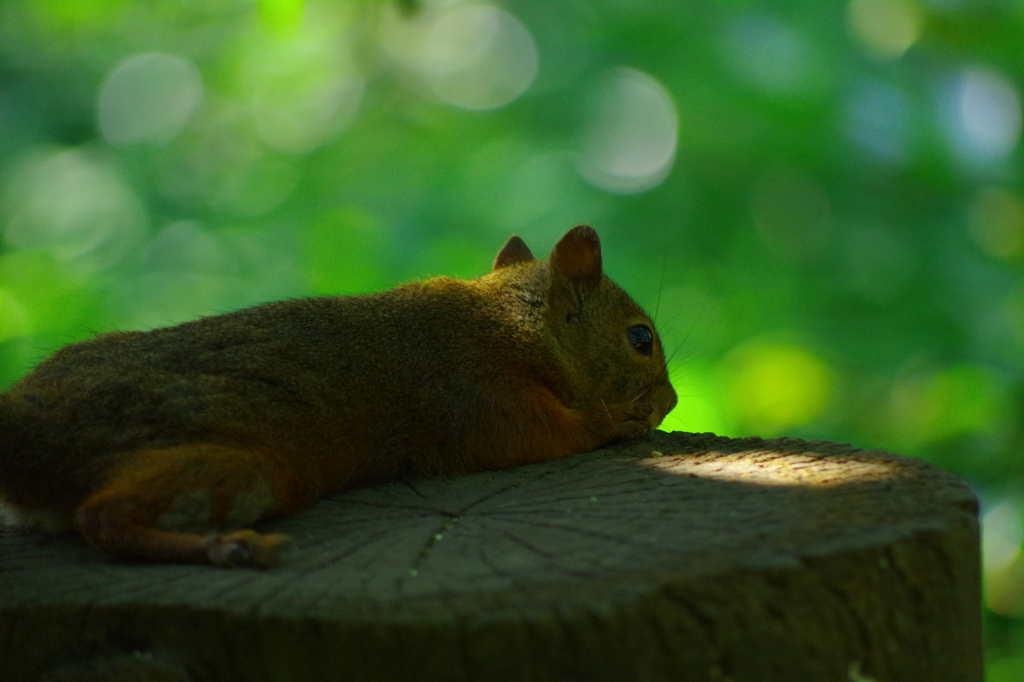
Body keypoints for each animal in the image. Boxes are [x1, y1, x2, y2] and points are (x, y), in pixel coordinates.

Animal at [0, 225, 671, 565]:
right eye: (641, 339)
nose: (668, 402)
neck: (507, 322)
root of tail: (28, 435)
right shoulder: (475, 392)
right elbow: (545, 434)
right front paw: (616, 421)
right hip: (237, 465)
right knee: (101, 518)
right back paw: (229, 547)